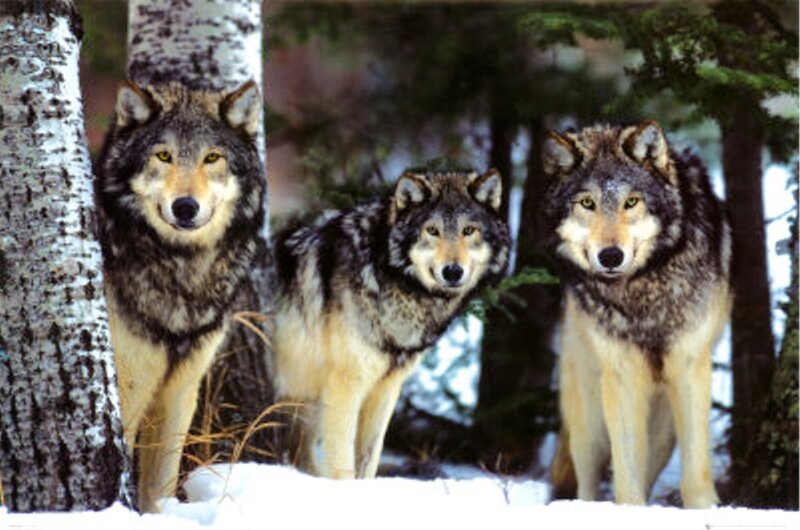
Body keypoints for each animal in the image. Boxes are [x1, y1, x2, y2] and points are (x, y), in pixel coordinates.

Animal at [94, 80, 264, 511]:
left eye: (212, 158)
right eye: (164, 155)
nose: (185, 207)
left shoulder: (179, 393)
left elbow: (160, 486)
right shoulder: (129, 390)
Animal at [271, 169, 510, 479]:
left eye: (469, 230)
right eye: (432, 230)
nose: (453, 271)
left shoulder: (385, 390)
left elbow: (369, 459)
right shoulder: (345, 386)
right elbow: (343, 465)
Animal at [541, 120, 731, 508]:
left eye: (631, 202)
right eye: (587, 203)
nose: (611, 256)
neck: (641, 292)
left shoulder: (690, 368)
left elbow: (695, 469)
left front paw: (705, 508)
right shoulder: (622, 374)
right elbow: (626, 470)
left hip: (662, 427)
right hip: (590, 412)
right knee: (587, 478)